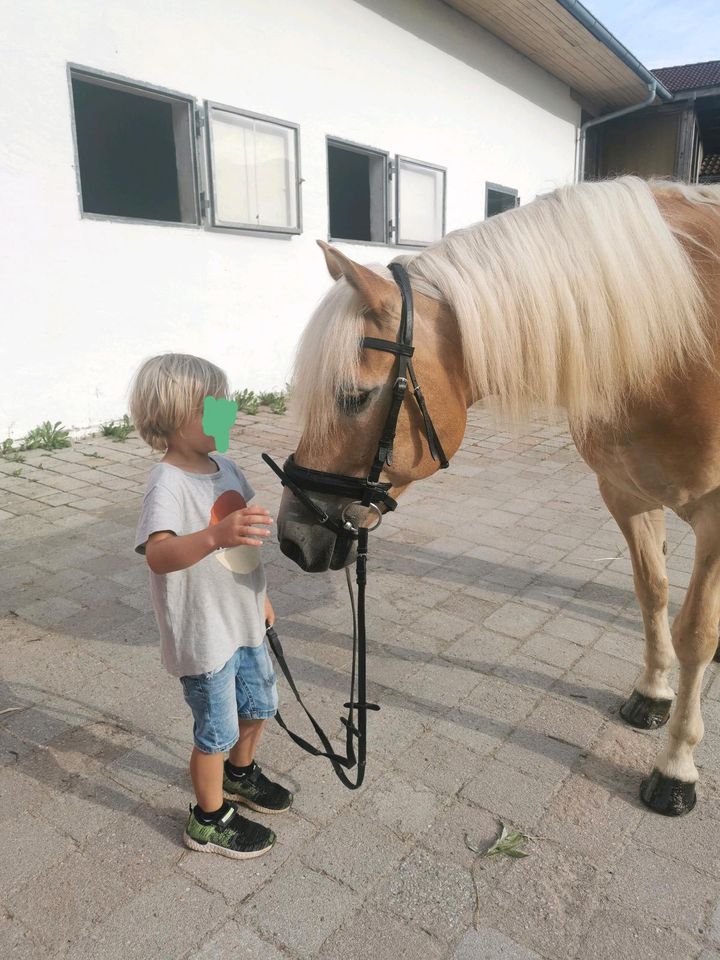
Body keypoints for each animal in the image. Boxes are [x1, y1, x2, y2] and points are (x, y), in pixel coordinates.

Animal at [276, 176, 720, 812]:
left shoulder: (714, 516)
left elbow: (697, 633)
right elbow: (653, 592)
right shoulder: (625, 492)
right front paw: (653, 693)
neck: (681, 339)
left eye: (354, 396)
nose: (292, 538)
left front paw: (677, 766)